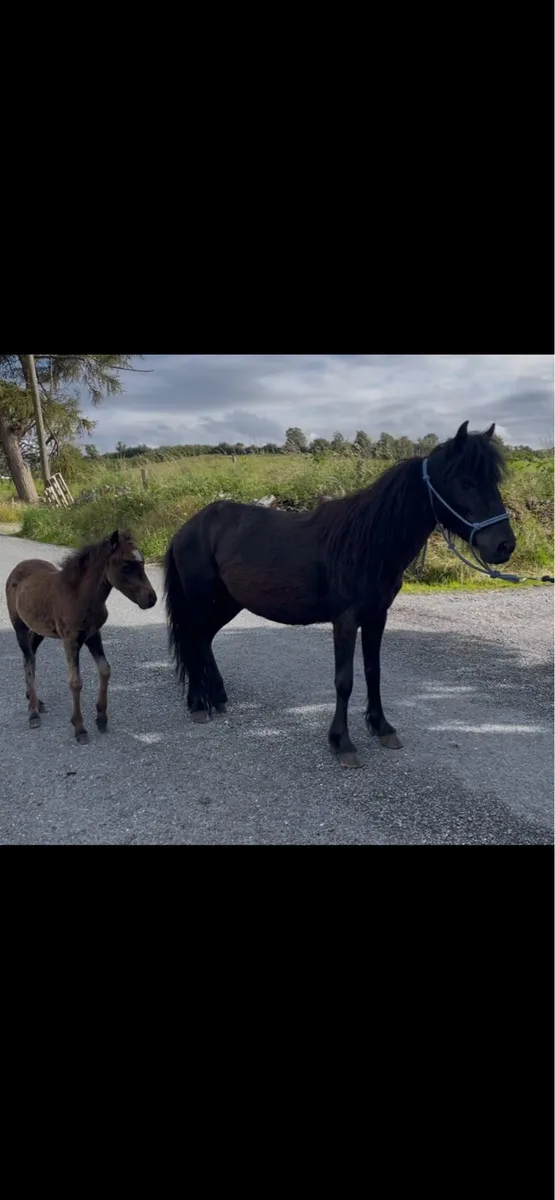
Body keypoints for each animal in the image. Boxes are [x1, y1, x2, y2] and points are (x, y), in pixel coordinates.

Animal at [6, 530, 157, 744]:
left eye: (143, 562)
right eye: (126, 565)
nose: (151, 599)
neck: (79, 595)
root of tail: (19, 567)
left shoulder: (93, 635)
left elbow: (105, 669)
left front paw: (101, 718)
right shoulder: (70, 640)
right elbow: (75, 682)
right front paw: (79, 728)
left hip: (38, 630)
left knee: (30, 657)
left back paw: (35, 700)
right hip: (19, 626)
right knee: (28, 660)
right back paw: (33, 712)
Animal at [164, 422, 516, 767]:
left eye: (493, 480)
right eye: (465, 481)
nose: (504, 545)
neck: (366, 543)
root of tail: (188, 527)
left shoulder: (377, 617)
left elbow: (374, 672)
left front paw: (382, 727)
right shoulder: (345, 621)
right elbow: (344, 681)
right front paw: (342, 743)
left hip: (228, 602)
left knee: (205, 639)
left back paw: (218, 697)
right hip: (200, 599)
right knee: (194, 639)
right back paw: (198, 704)